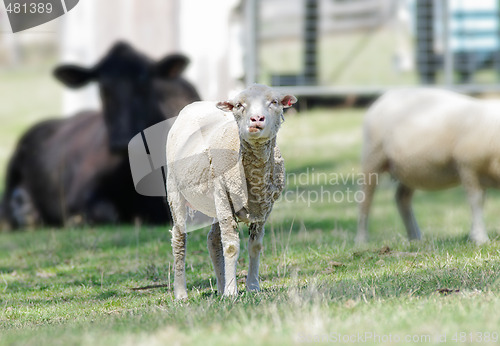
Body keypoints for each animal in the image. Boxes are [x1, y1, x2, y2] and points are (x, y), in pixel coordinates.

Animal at [166, 84, 296, 300]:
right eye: (238, 105)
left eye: (274, 102)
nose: (256, 119)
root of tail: (196, 103)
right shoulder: (223, 194)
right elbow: (231, 246)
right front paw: (231, 291)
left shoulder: (264, 205)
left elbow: (255, 246)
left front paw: (252, 286)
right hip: (175, 189)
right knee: (179, 239)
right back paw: (181, 292)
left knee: (212, 240)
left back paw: (220, 286)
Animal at [360, 88, 496, 245]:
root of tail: (387, 95)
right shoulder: (467, 166)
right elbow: (476, 201)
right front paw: (480, 238)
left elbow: (481, 201)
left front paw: (474, 234)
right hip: (372, 157)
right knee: (365, 201)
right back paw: (361, 240)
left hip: (410, 169)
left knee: (401, 198)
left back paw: (415, 237)